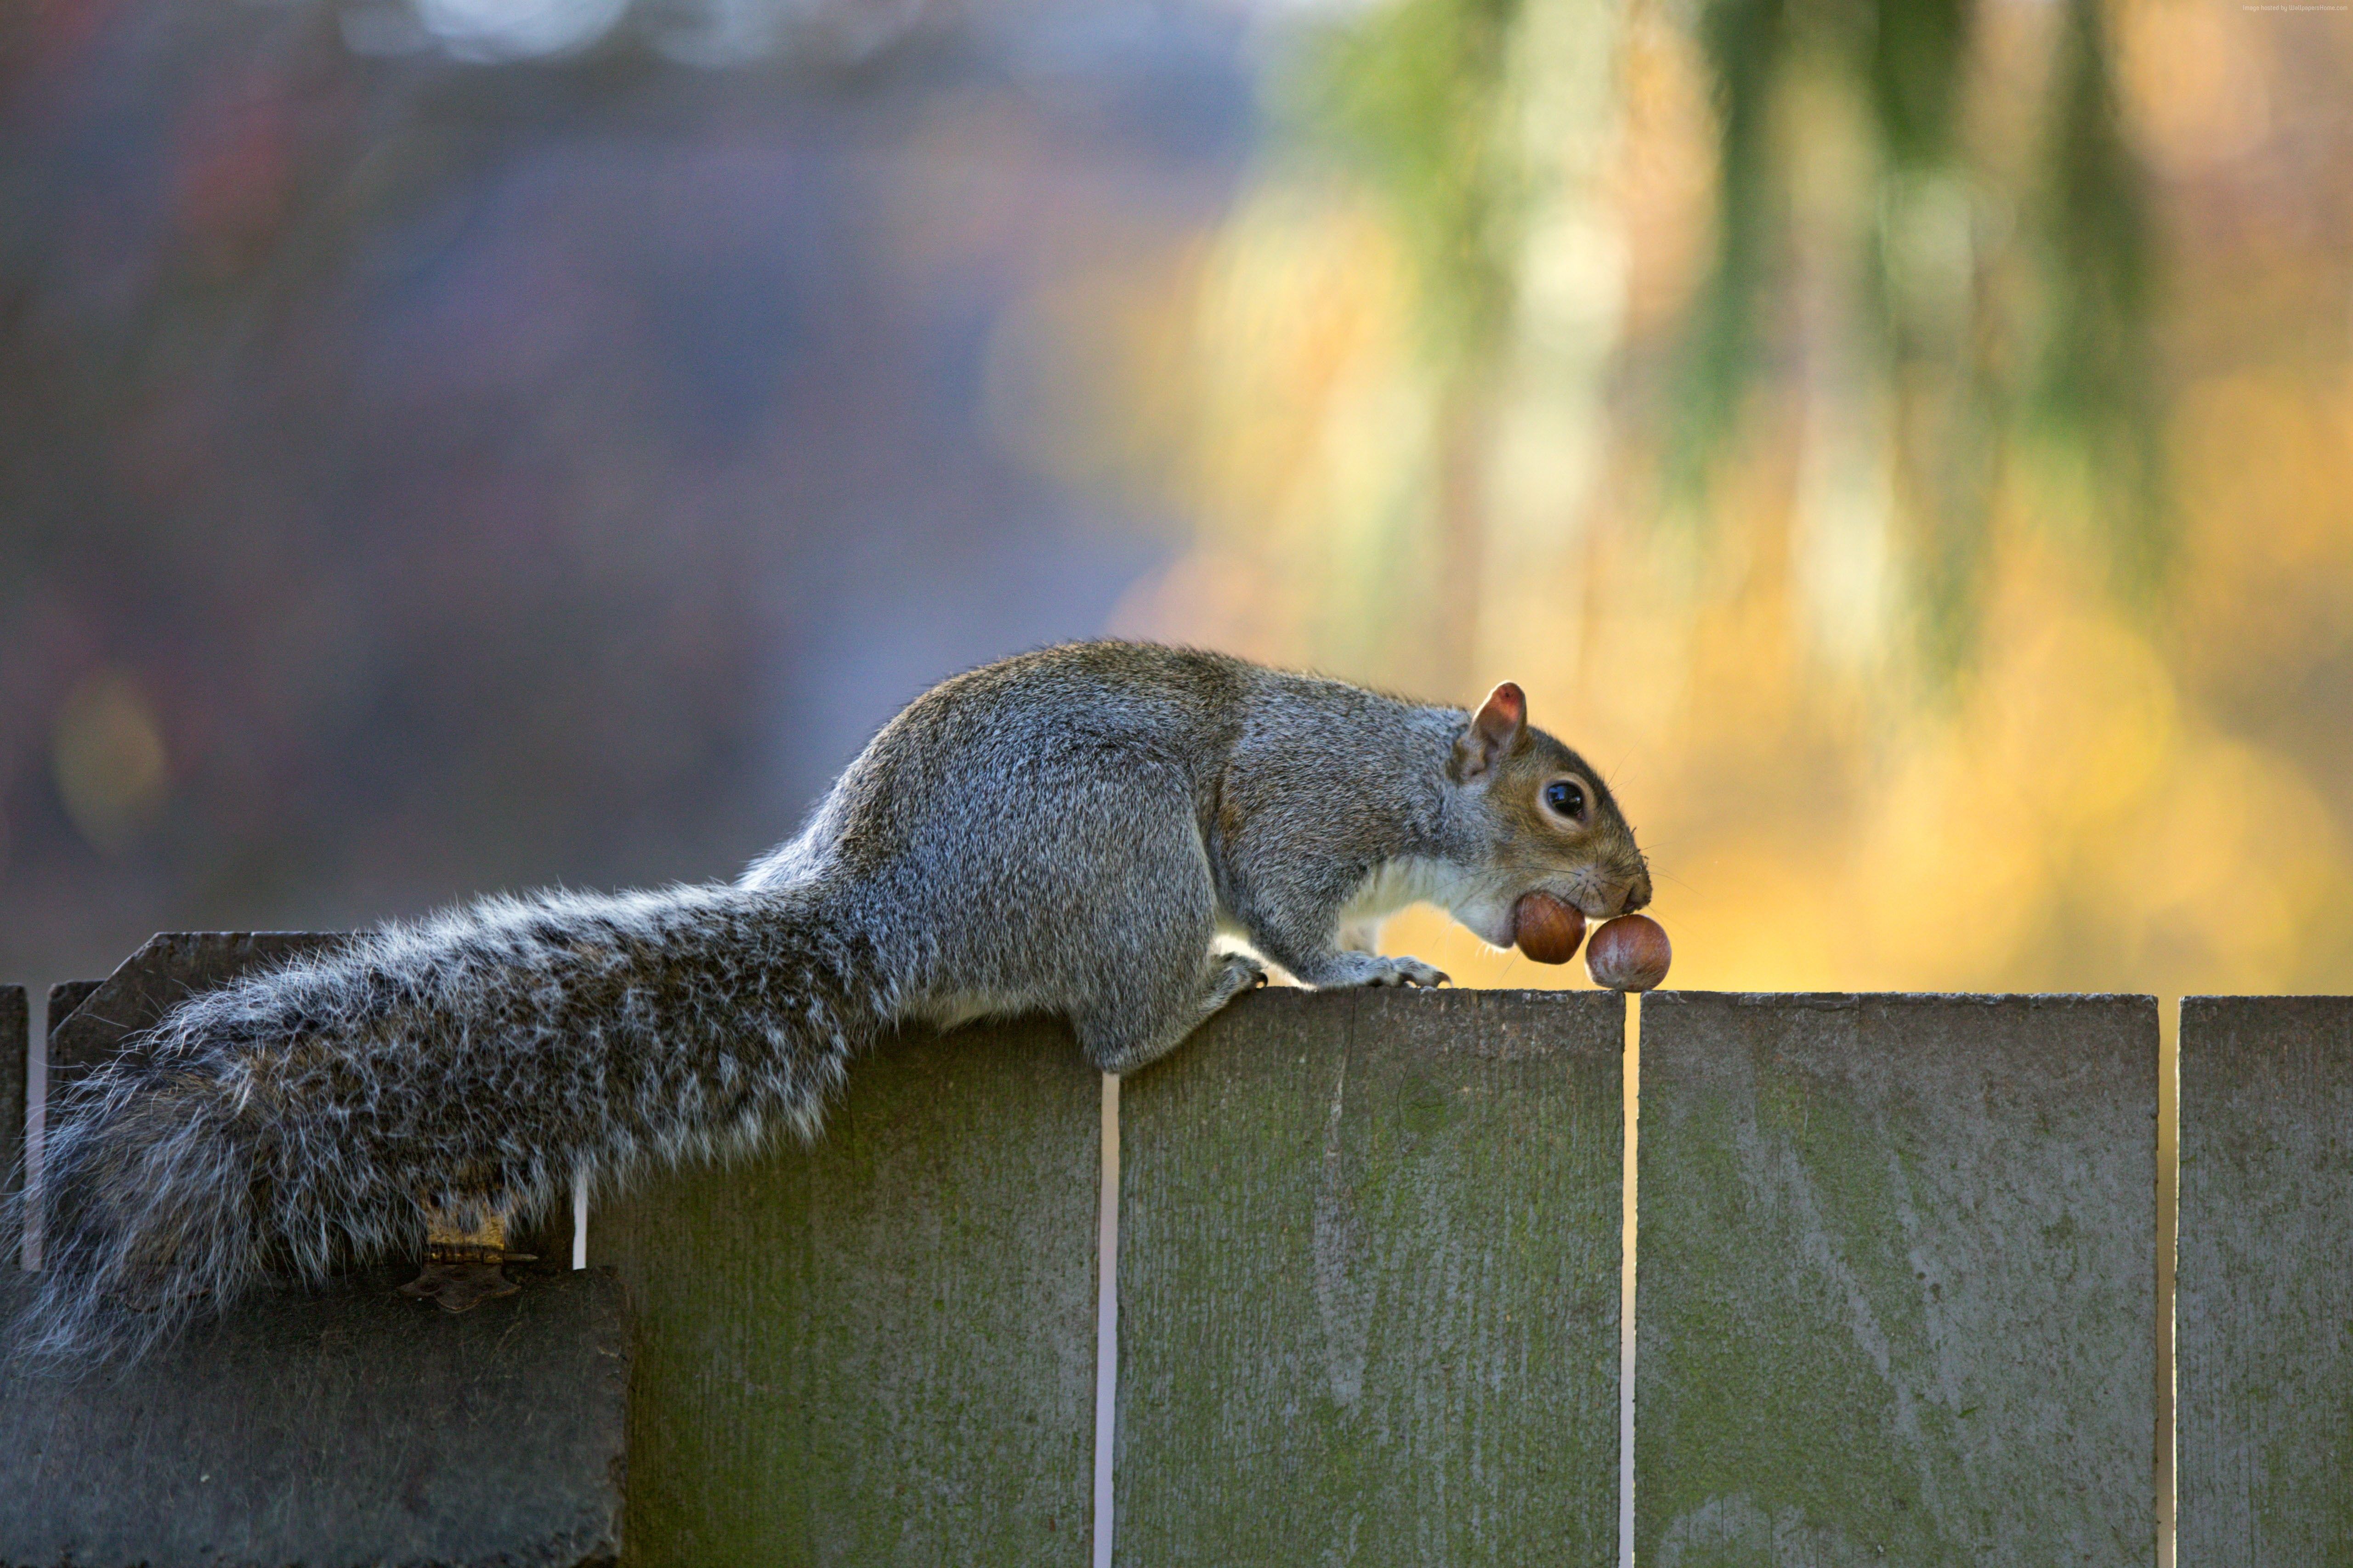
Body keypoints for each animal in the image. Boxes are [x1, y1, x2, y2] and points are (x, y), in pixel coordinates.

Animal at [12, 641, 1650, 1363]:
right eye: (1566, 797)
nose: (1635, 891)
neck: (1402, 775)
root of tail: (884, 911)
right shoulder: (1295, 823)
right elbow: (1303, 916)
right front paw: (1372, 967)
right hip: (1123, 858)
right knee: (1118, 1032)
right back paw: (1201, 998)